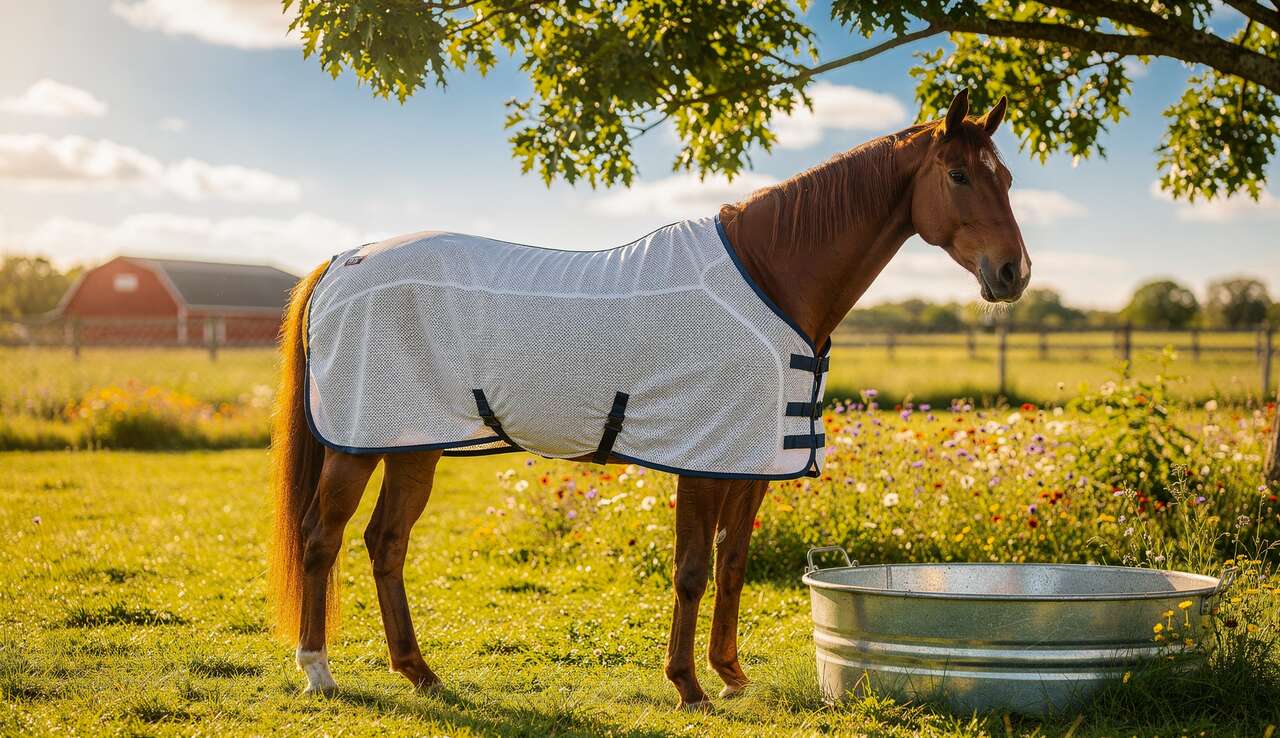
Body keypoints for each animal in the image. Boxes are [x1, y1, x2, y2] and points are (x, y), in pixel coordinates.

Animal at [267, 89, 1030, 709]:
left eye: (1008, 178)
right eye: (959, 175)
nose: (1013, 273)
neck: (770, 278)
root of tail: (343, 261)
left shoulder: (750, 464)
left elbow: (731, 565)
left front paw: (731, 675)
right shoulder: (702, 458)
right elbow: (691, 571)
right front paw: (688, 684)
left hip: (412, 443)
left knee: (385, 542)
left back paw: (419, 672)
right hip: (357, 444)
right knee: (322, 538)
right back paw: (318, 671)